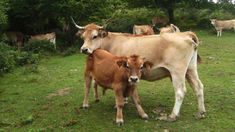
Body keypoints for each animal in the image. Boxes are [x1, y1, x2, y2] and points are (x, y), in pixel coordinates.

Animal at [72, 17, 206, 121]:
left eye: (94, 36)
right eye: (83, 37)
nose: (84, 49)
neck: (112, 42)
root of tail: (186, 34)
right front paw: (125, 101)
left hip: (177, 72)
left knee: (180, 91)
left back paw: (173, 115)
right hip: (190, 69)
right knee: (198, 87)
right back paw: (201, 112)